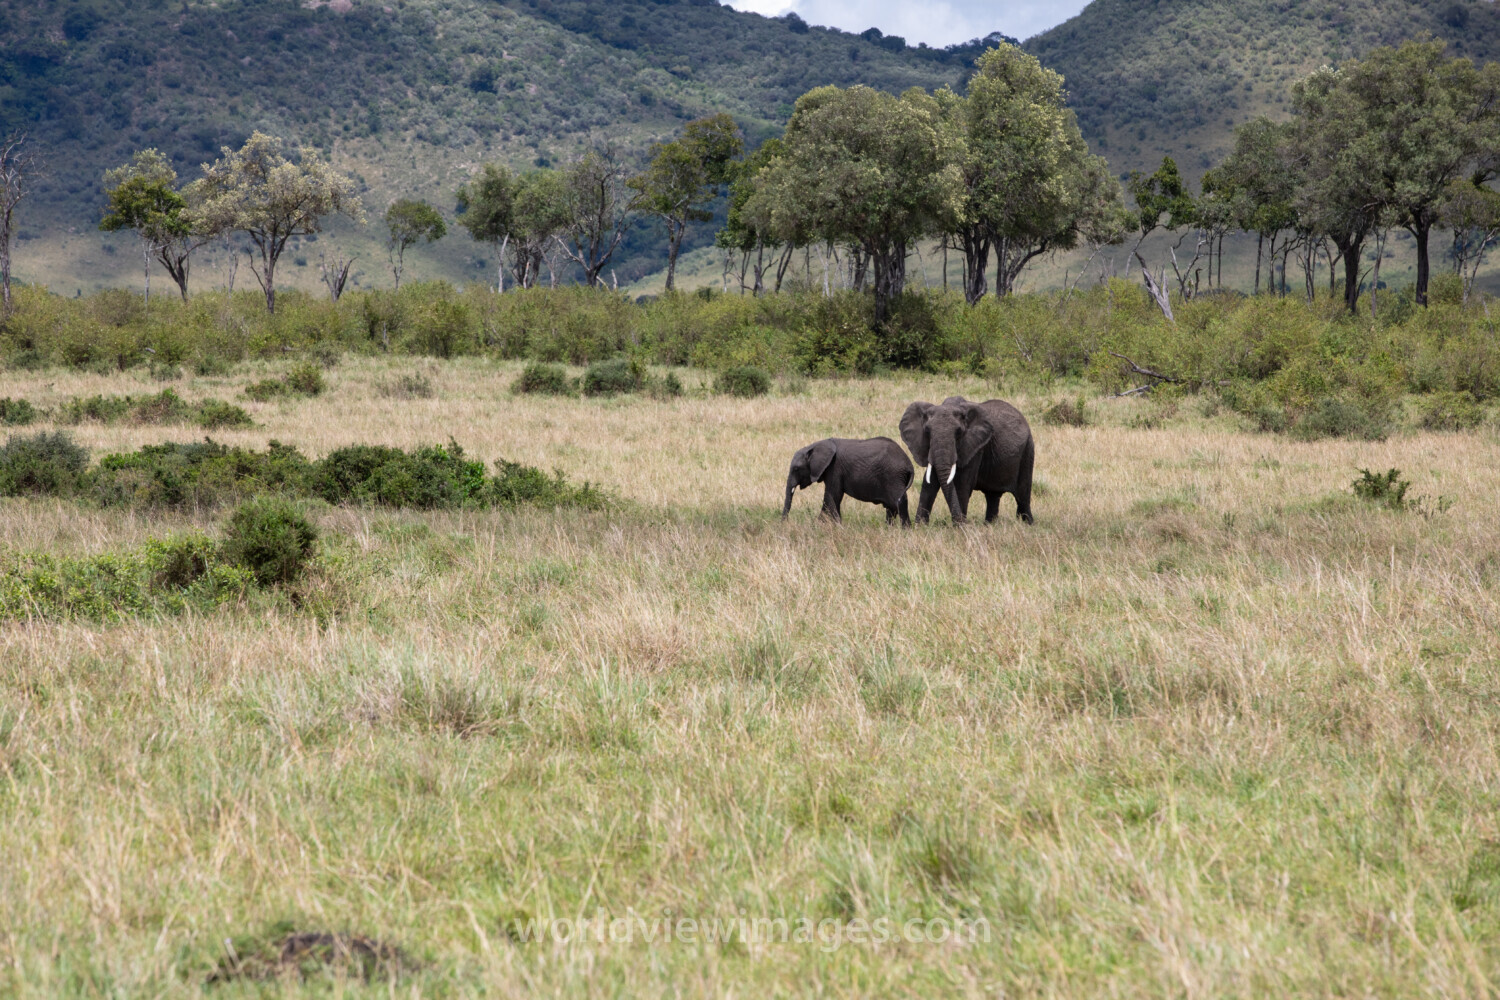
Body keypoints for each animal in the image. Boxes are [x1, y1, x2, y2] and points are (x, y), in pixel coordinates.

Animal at [782, 437, 914, 526]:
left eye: (796, 469)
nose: (784, 523)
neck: (817, 445)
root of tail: (909, 464)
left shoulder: (834, 468)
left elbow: (831, 496)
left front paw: (824, 526)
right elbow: (834, 498)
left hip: (893, 477)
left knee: (899, 502)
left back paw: (905, 530)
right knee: (892, 507)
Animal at [899, 396, 1035, 525]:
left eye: (958, 432)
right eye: (927, 431)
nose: (966, 523)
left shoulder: (975, 447)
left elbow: (962, 484)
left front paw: (959, 528)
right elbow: (929, 483)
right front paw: (920, 527)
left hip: (1028, 451)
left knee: (1022, 497)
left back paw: (1028, 525)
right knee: (993, 496)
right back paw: (989, 525)